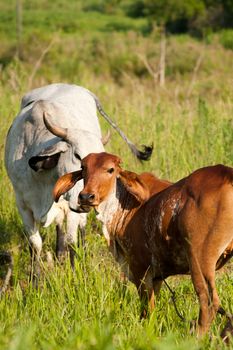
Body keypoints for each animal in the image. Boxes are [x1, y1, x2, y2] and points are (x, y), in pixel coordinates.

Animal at [52, 152, 233, 336]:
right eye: (83, 168)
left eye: (111, 169)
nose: (86, 196)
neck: (123, 203)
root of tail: (226, 174)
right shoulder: (156, 277)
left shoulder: (140, 268)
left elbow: (147, 310)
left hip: (199, 258)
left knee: (208, 302)